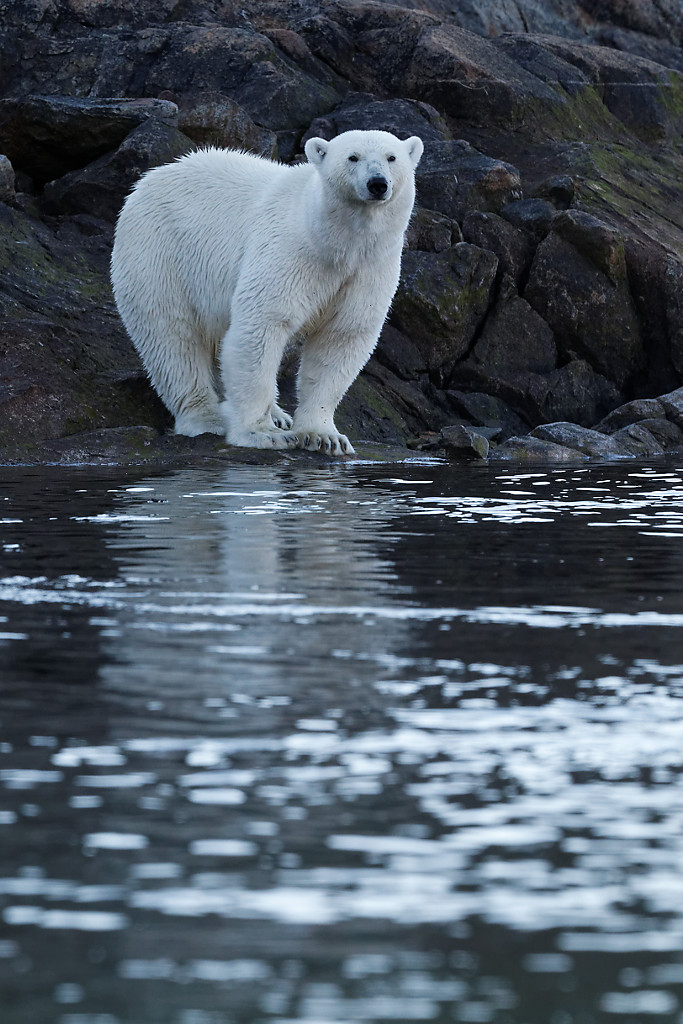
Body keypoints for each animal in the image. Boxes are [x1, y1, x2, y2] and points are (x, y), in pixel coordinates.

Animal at [109, 131, 421, 456]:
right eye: (353, 157)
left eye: (391, 157)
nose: (377, 183)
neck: (335, 242)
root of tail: (148, 180)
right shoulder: (290, 251)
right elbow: (262, 325)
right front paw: (262, 433)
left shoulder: (369, 269)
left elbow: (342, 338)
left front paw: (324, 436)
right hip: (159, 255)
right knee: (171, 339)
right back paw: (206, 417)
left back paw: (278, 414)